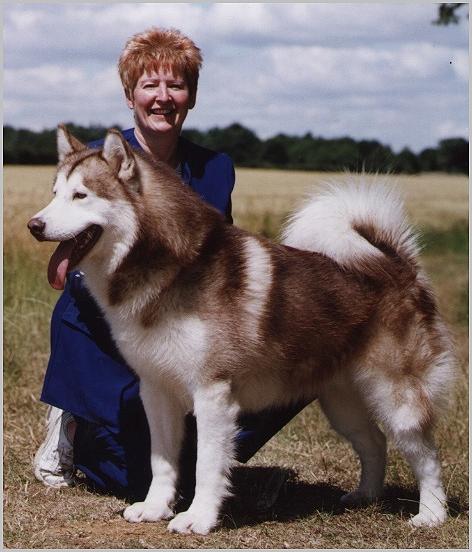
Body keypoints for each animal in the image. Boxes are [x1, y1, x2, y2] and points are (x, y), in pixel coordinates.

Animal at [27, 126, 456, 536]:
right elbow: (161, 460)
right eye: (54, 194)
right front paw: (154, 508)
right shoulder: (156, 390)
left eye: (80, 195)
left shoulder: (212, 394)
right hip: (342, 402)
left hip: (396, 397)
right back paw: (365, 496)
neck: (169, 269)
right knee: (375, 442)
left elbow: (205, 465)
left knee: (427, 455)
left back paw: (431, 515)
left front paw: (197, 519)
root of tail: (399, 269)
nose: (34, 225)